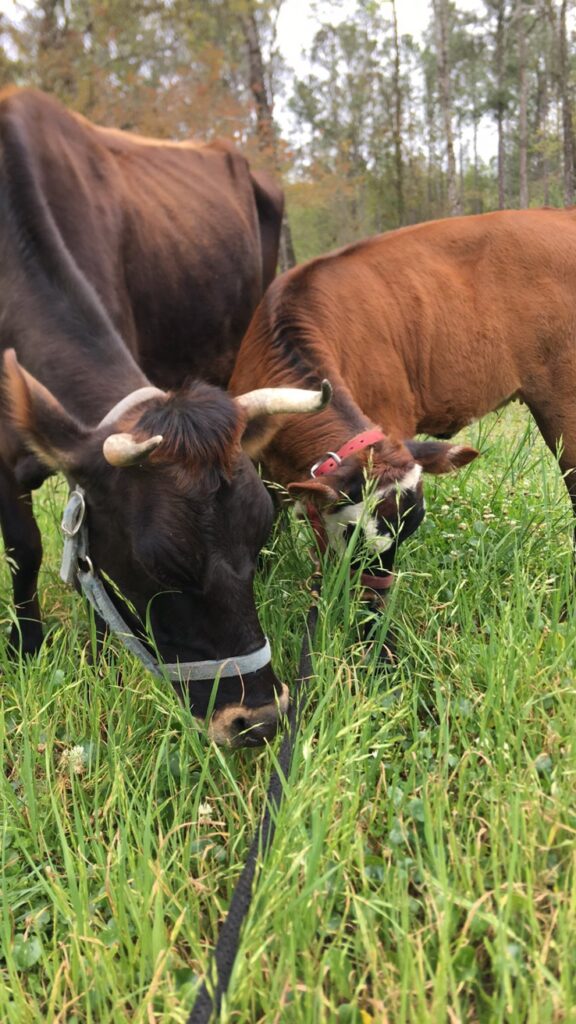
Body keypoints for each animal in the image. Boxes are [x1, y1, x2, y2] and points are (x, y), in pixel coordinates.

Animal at [0, 86, 322, 748]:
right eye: (159, 562)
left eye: (254, 529)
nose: (258, 719)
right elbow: (26, 548)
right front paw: (28, 646)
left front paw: (100, 662)